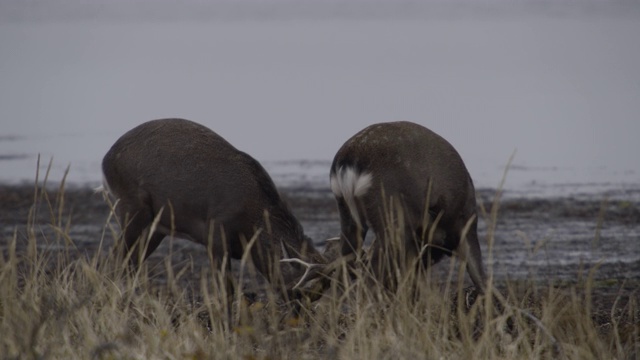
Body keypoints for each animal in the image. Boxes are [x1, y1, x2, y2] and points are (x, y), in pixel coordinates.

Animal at [104, 119, 330, 296]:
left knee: (129, 262)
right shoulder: (215, 231)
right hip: (133, 206)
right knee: (116, 257)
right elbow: (226, 289)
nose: (299, 314)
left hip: (157, 226)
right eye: (300, 290)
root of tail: (106, 160)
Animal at [328, 121, 488, 292]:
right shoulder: (466, 221)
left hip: (348, 213)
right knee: (370, 275)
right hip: (393, 216)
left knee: (342, 268)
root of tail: (348, 163)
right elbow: (479, 274)